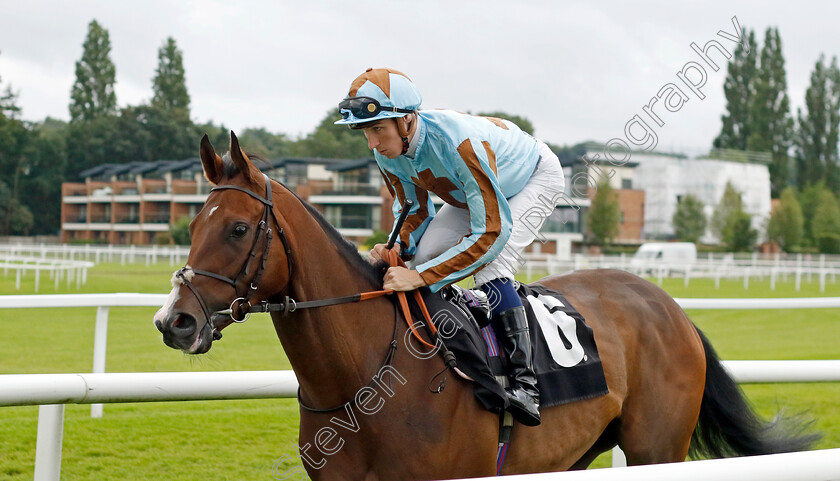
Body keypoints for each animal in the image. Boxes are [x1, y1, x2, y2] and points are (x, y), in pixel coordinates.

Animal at [154, 132, 816, 480]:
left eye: (239, 228)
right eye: (193, 224)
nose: (173, 321)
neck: (365, 375)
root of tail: (671, 308)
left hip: (657, 448)